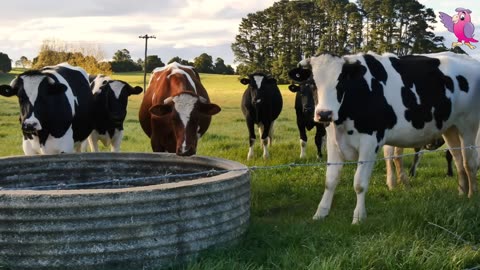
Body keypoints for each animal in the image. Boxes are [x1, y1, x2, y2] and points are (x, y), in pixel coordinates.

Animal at [288, 51, 480, 224]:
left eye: (341, 82)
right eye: (312, 83)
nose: (324, 114)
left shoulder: (370, 142)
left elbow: (359, 183)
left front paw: (359, 217)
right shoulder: (333, 141)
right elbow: (330, 180)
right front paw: (321, 213)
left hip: (469, 125)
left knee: (469, 162)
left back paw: (472, 196)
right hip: (450, 127)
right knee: (458, 159)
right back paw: (461, 193)